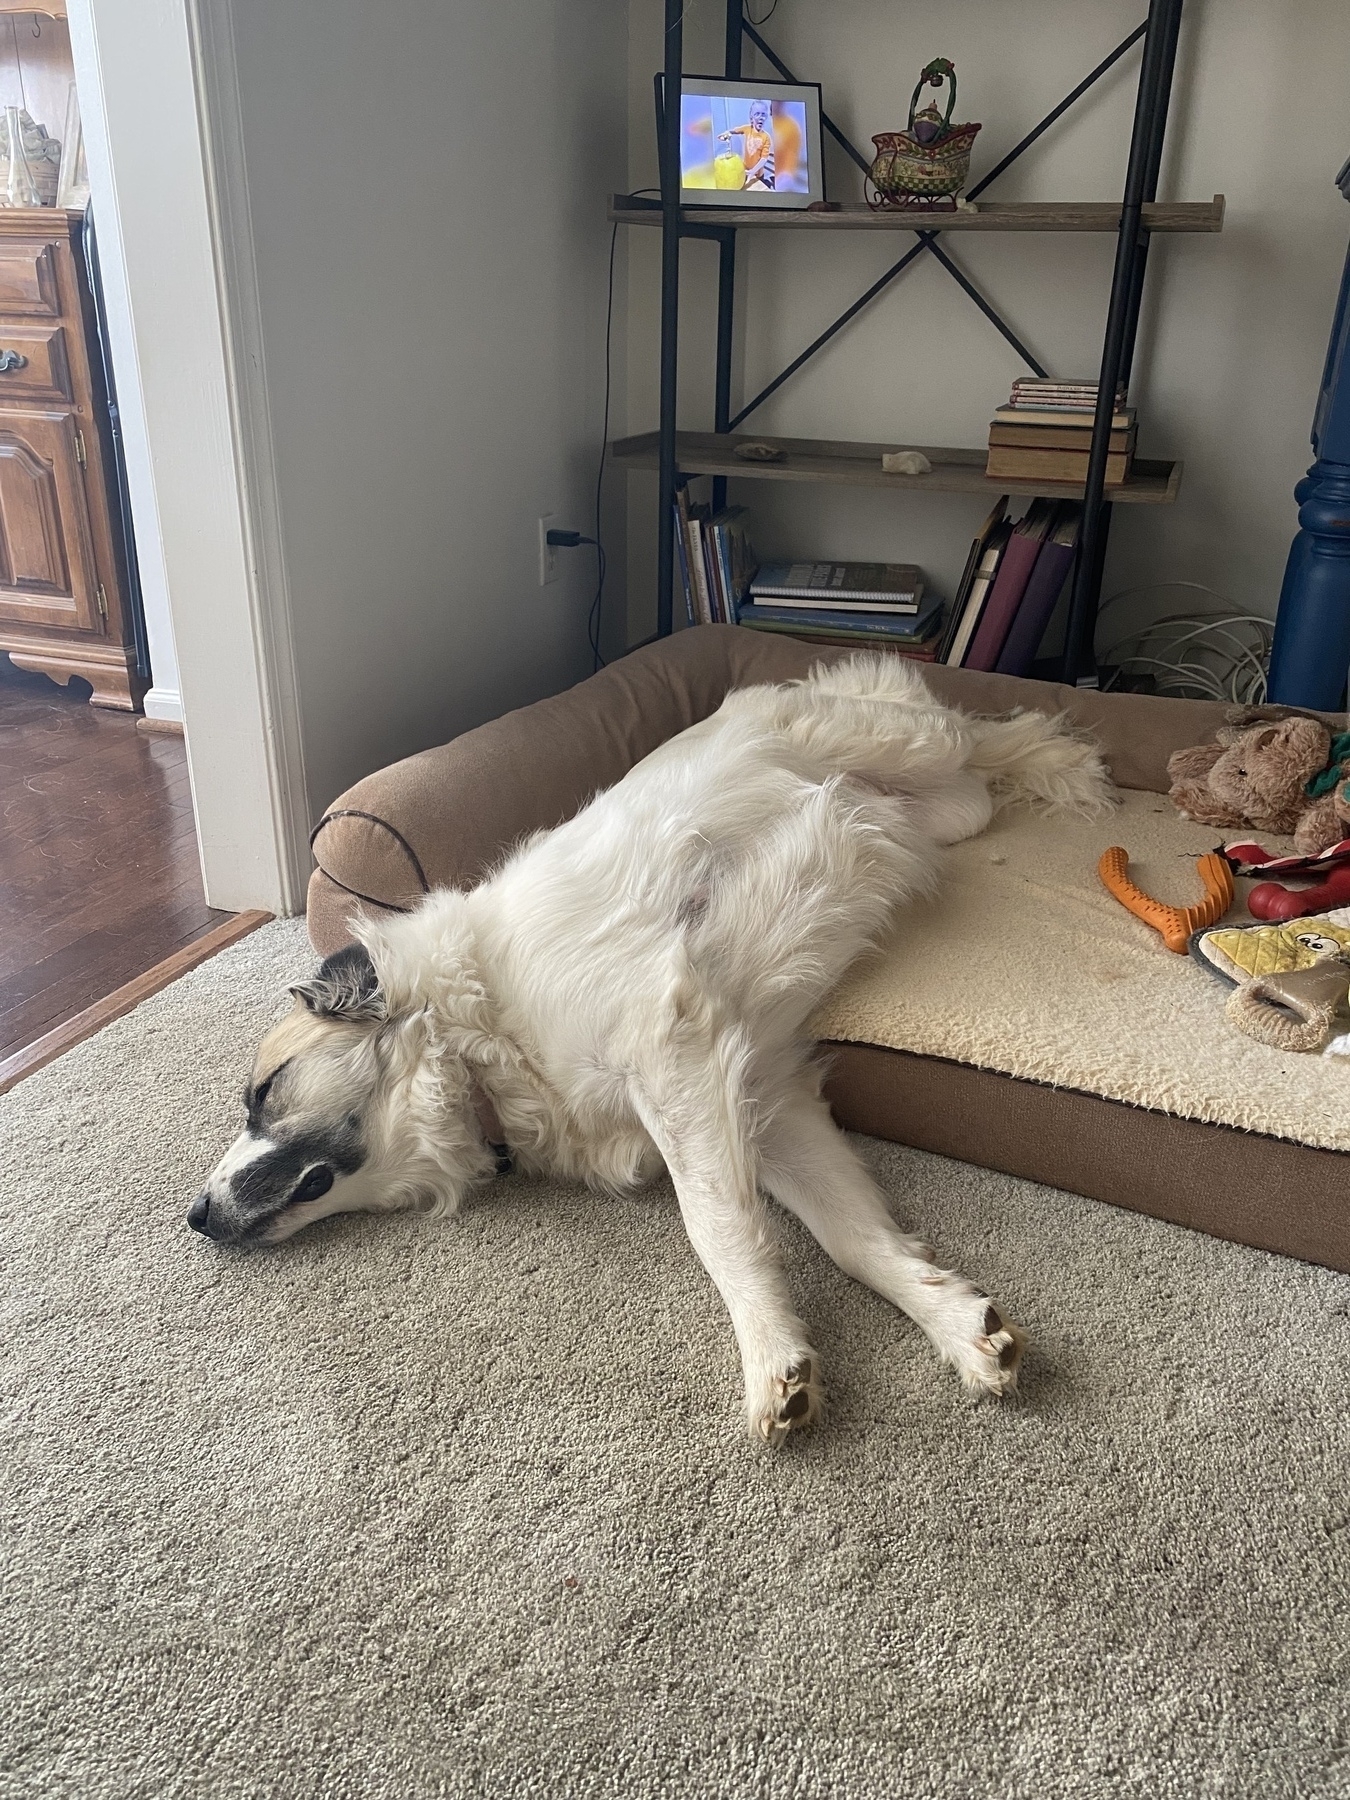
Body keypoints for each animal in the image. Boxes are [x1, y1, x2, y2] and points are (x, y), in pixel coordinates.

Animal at [192, 655, 1123, 1440]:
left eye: (264, 1093)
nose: (196, 1216)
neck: (478, 1047)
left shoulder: (672, 1049)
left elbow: (717, 1229)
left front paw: (771, 1359)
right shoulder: (765, 1104)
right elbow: (852, 1239)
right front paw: (955, 1324)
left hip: (916, 744)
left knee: (998, 729)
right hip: (949, 812)